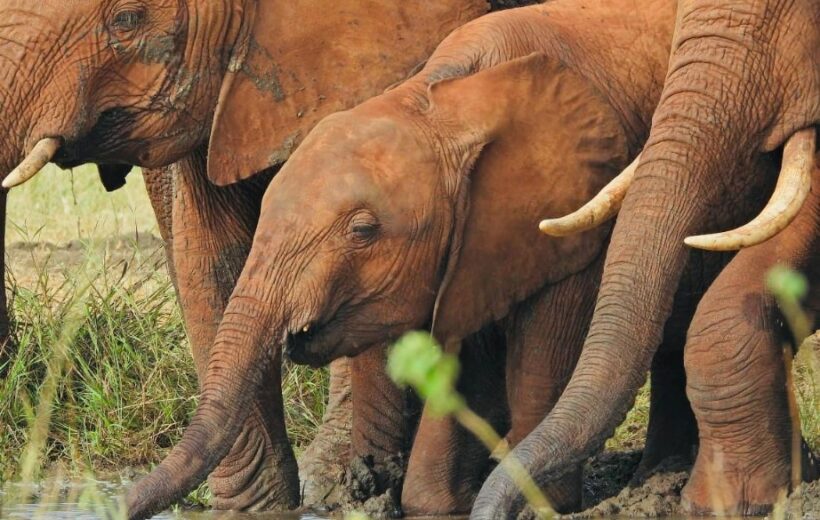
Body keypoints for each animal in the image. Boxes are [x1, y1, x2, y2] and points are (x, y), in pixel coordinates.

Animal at [125, 2, 716, 516]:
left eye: (363, 232)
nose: (120, 502)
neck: (446, 98)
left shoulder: (574, 212)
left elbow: (543, 349)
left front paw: (542, 505)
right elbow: (461, 355)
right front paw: (437, 502)